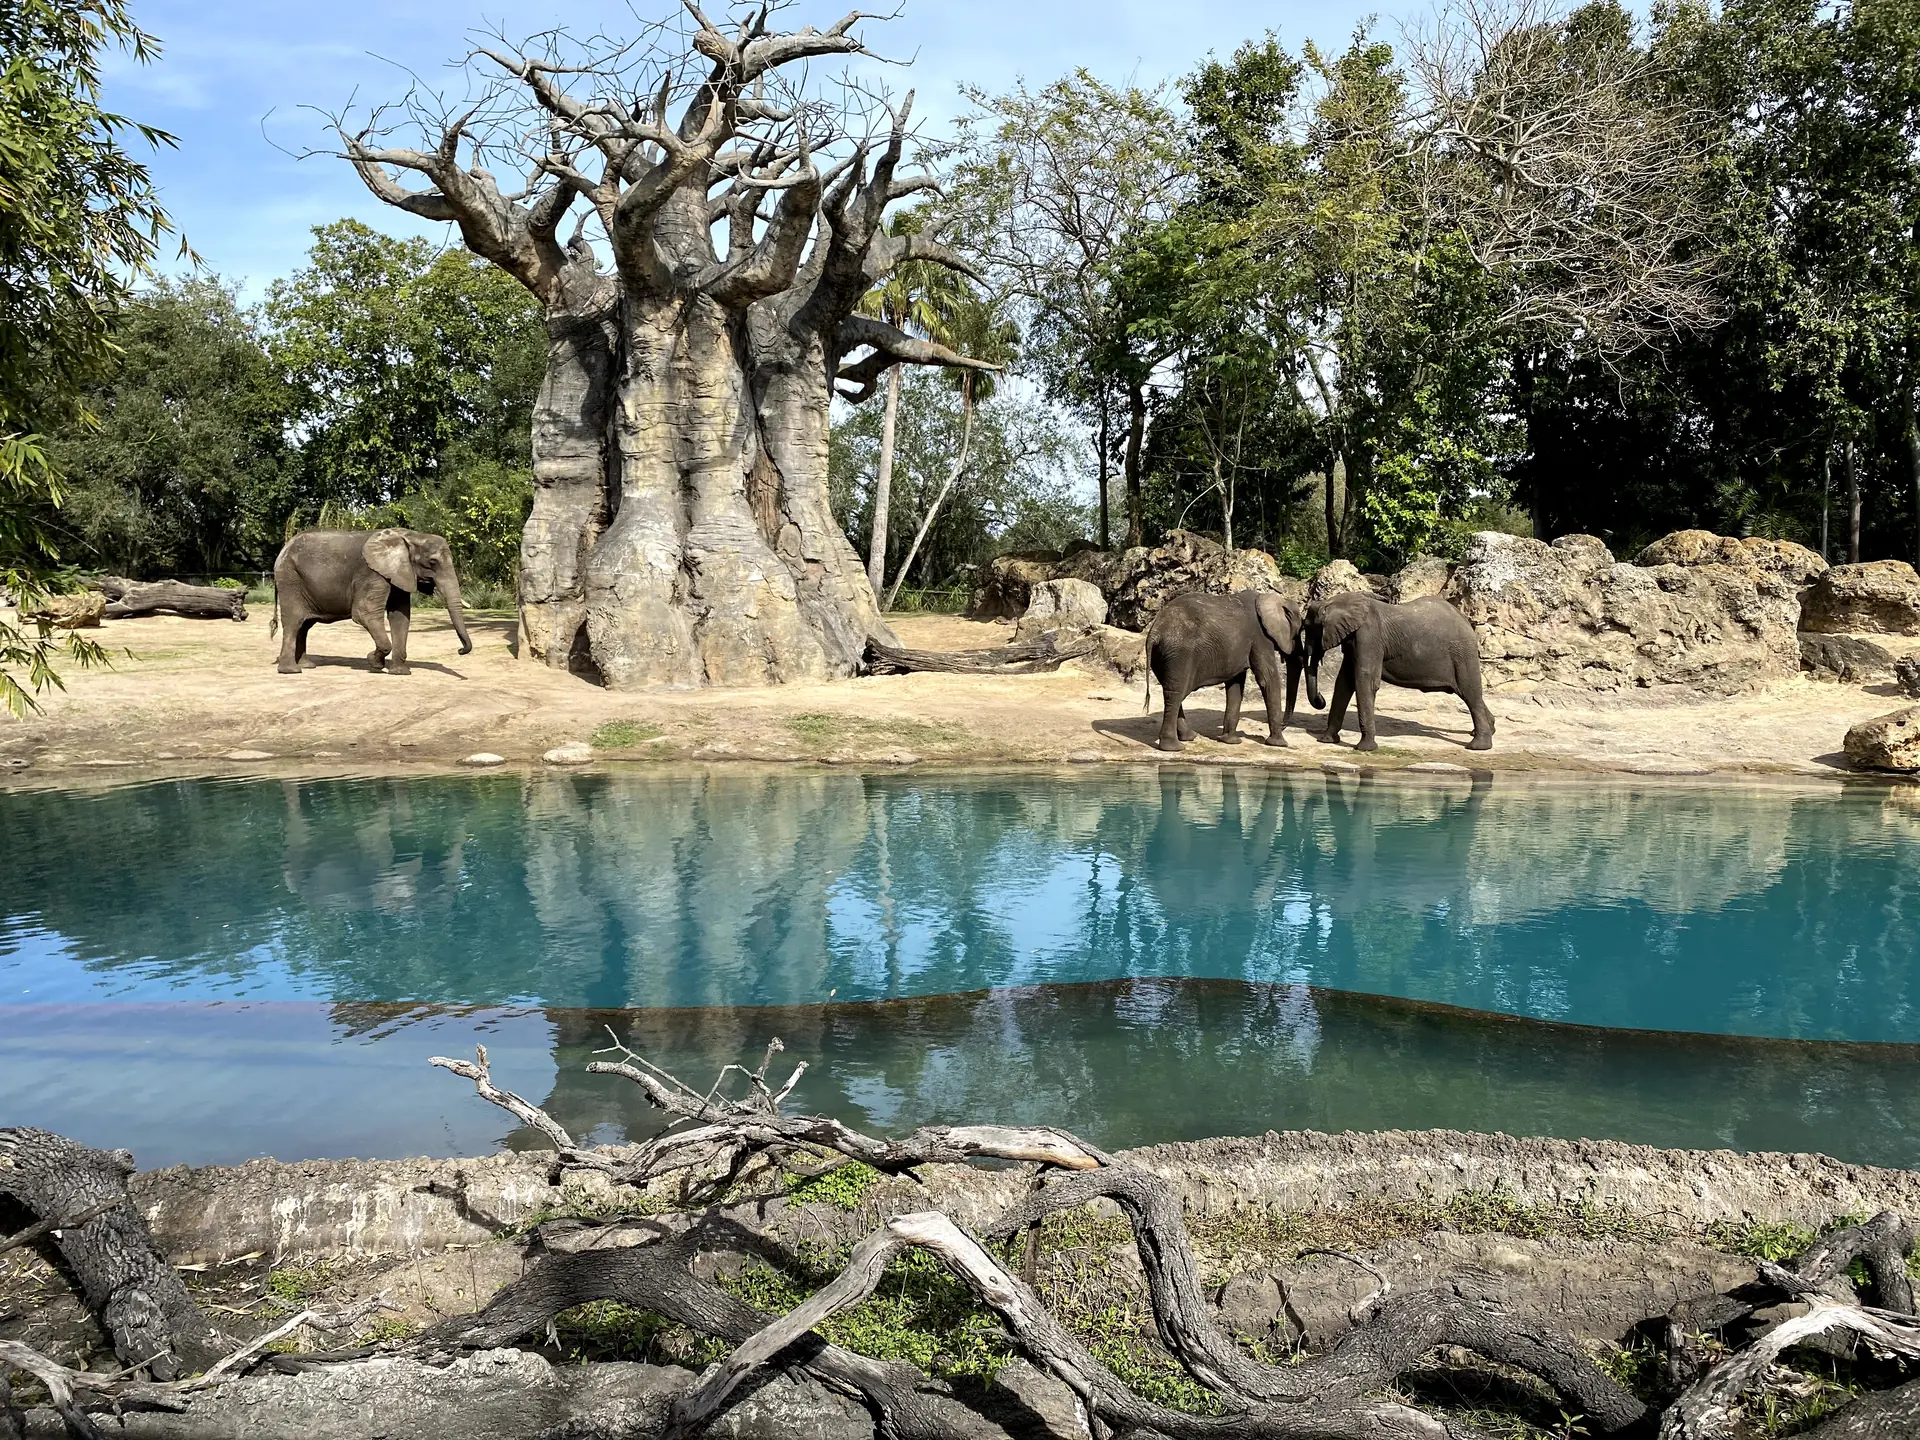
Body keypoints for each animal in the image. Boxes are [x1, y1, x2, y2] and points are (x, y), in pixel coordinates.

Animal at [272, 528, 472, 675]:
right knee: (294, 622)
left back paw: (306, 665)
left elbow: (400, 617)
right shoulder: (372, 573)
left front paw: (400, 672)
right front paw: (374, 663)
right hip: (289, 579)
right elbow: (364, 613)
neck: (410, 536)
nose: (460, 651)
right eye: (432, 562)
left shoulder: (399, 574)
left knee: (304, 625)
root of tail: (283, 549)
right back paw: (291, 671)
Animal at [1141, 590, 1305, 752]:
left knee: (1172, 691)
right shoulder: (1260, 638)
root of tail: (1155, 631)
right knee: (1176, 693)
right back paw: (1173, 747)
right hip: (1179, 654)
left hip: (1162, 656)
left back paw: (1188, 737)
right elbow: (1267, 680)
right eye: (1300, 630)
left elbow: (1235, 684)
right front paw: (1279, 744)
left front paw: (1230, 741)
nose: (1284, 726)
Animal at [1301, 591, 1494, 751]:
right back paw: (1487, 730)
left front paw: (1365, 749)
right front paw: (1326, 740)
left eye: (1308, 629)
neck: (1334, 601)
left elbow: (1365, 681)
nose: (1320, 698)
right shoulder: (1352, 640)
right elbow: (1344, 682)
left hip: (1462, 653)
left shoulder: (1369, 636)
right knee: (1466, 693)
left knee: (1470, 693)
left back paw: (1478, 746)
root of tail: (1466, 621)